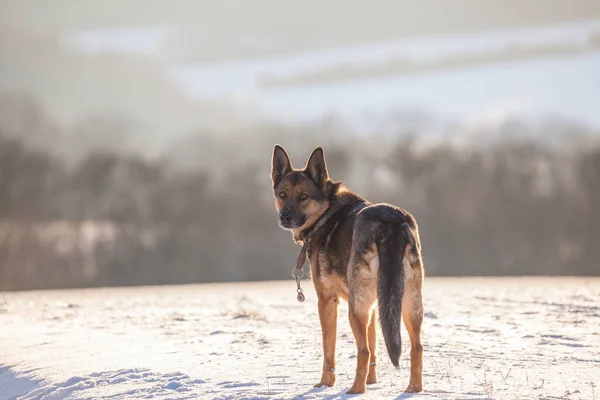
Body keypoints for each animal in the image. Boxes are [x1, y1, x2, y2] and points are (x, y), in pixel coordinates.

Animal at [270, 145, 424, 396]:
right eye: (282, 194)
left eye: (303, 196)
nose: (285, 217)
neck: (326, 211)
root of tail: (390, 224)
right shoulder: (374, 306)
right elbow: (374, 344)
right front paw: (372, 381)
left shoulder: (327, 301)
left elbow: (329, 349)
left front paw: (325, 384)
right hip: (407, 302)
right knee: (416, 347)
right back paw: (413, 389)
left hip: (356, 307)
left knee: (362, 350)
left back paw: (354, 390)